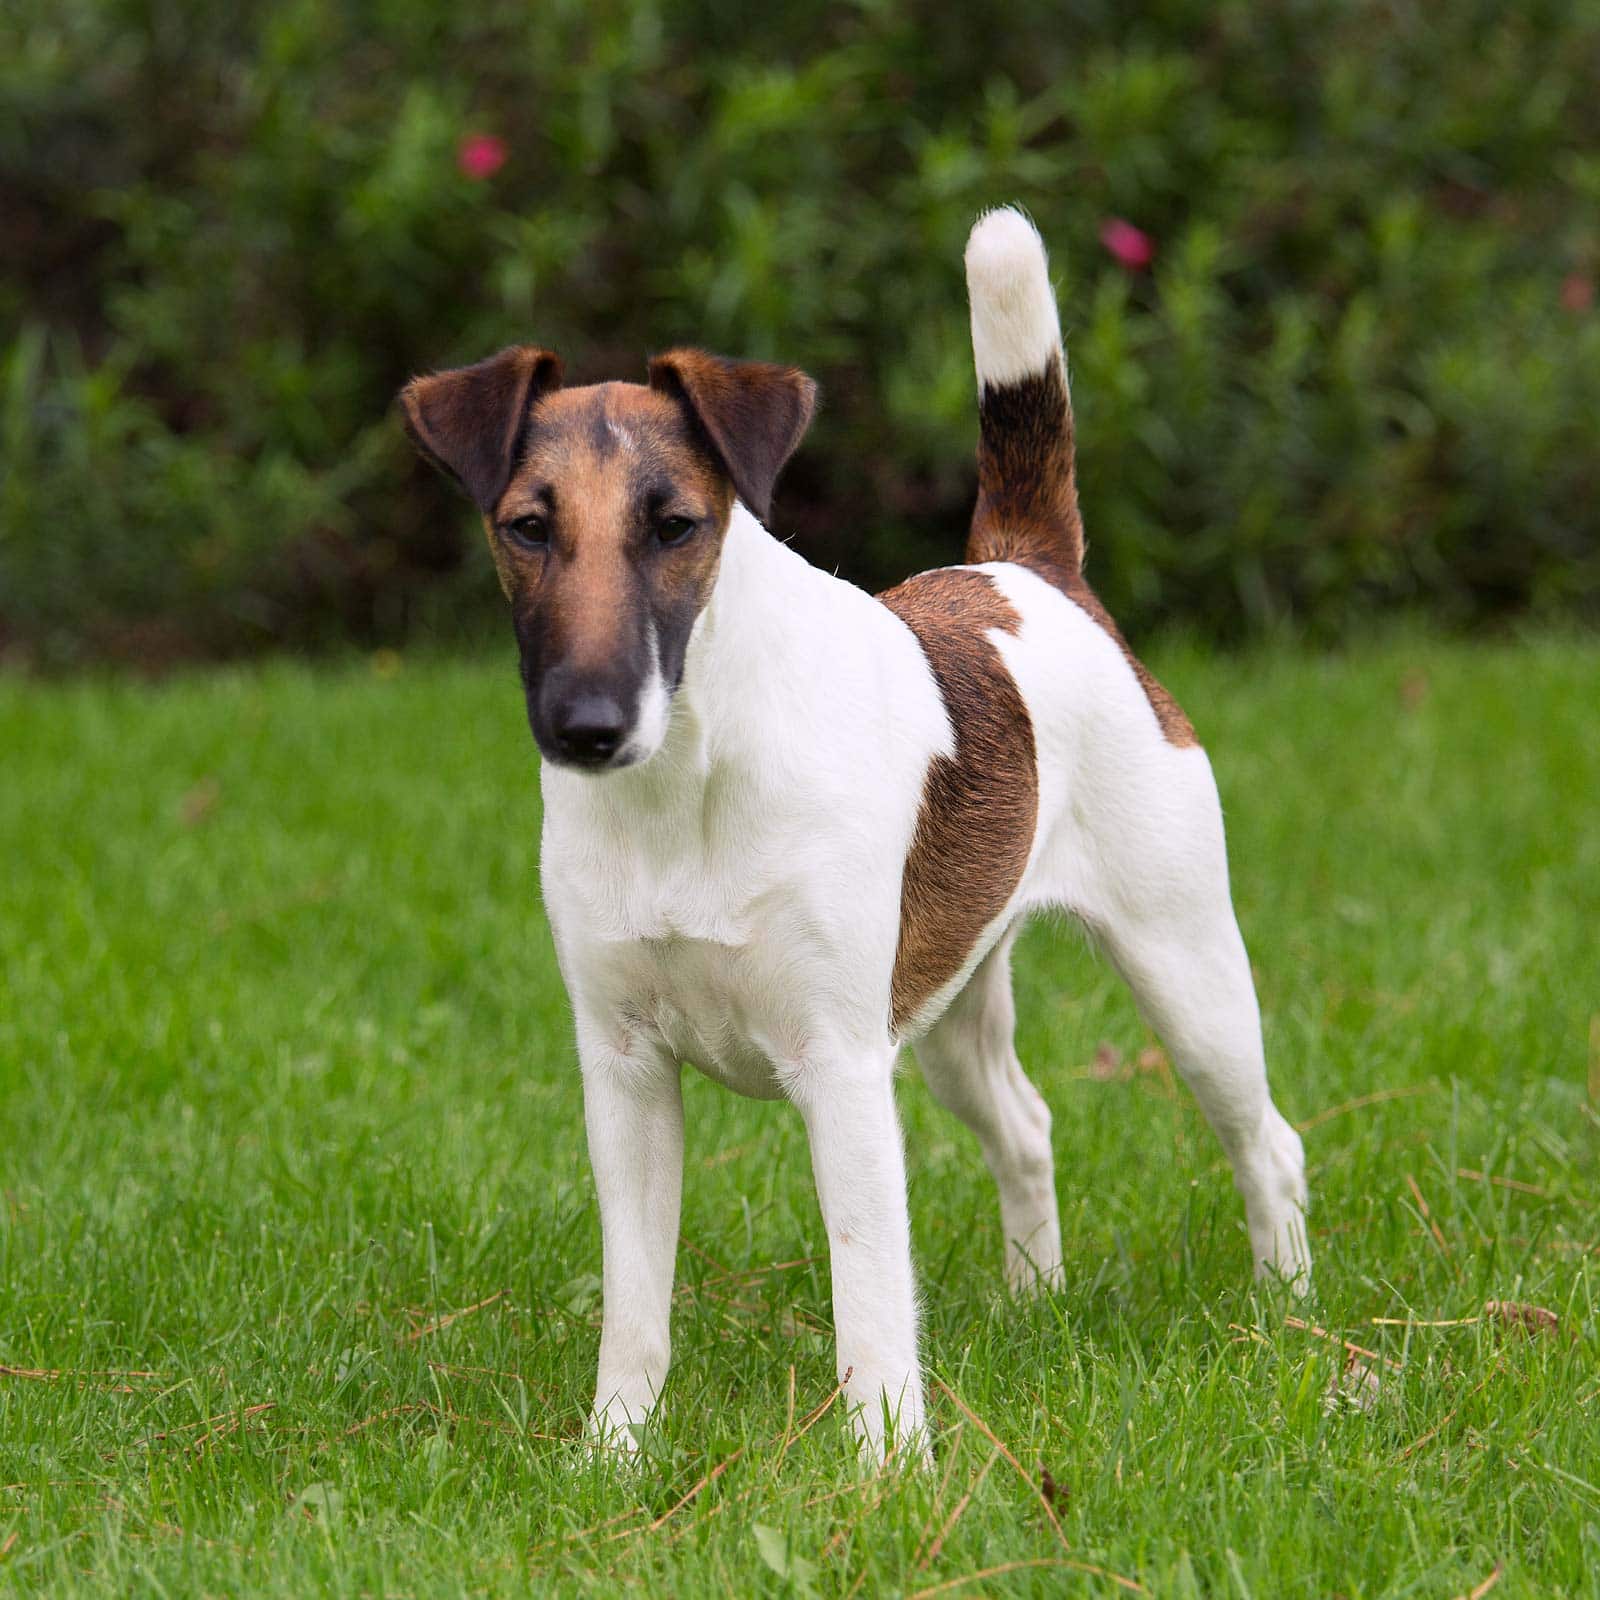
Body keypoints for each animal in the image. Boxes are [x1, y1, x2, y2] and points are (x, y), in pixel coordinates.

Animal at [400, 203, 1312, 1465]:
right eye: (526, 528)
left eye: (675, 526)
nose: (586, 725)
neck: (690, 776)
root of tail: (1032, 572)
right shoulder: (625, 1072)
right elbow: (635, 1297)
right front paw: (616, 1451)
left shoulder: (839, 1065)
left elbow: (871, 1292)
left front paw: (890, 1465)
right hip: (950, 1009)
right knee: (1025, 1125)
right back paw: (1036, 1302)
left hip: (1185, 973)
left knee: (1266, 1140)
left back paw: (1288, 1314)